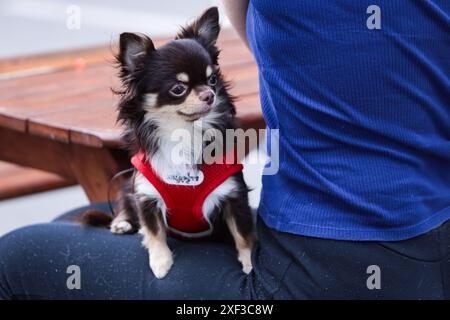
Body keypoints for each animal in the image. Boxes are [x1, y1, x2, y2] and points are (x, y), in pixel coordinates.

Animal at [82, 6, 255, 278]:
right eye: (178, 89)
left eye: (212, 80)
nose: (210, 94)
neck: (183, 132)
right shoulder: (145, 194)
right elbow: (154, 232)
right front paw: (161, 263)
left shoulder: (233, 195)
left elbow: (243, 234)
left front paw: (248, 265)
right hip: (129, 182)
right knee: (125, 201)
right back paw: (121, 222)